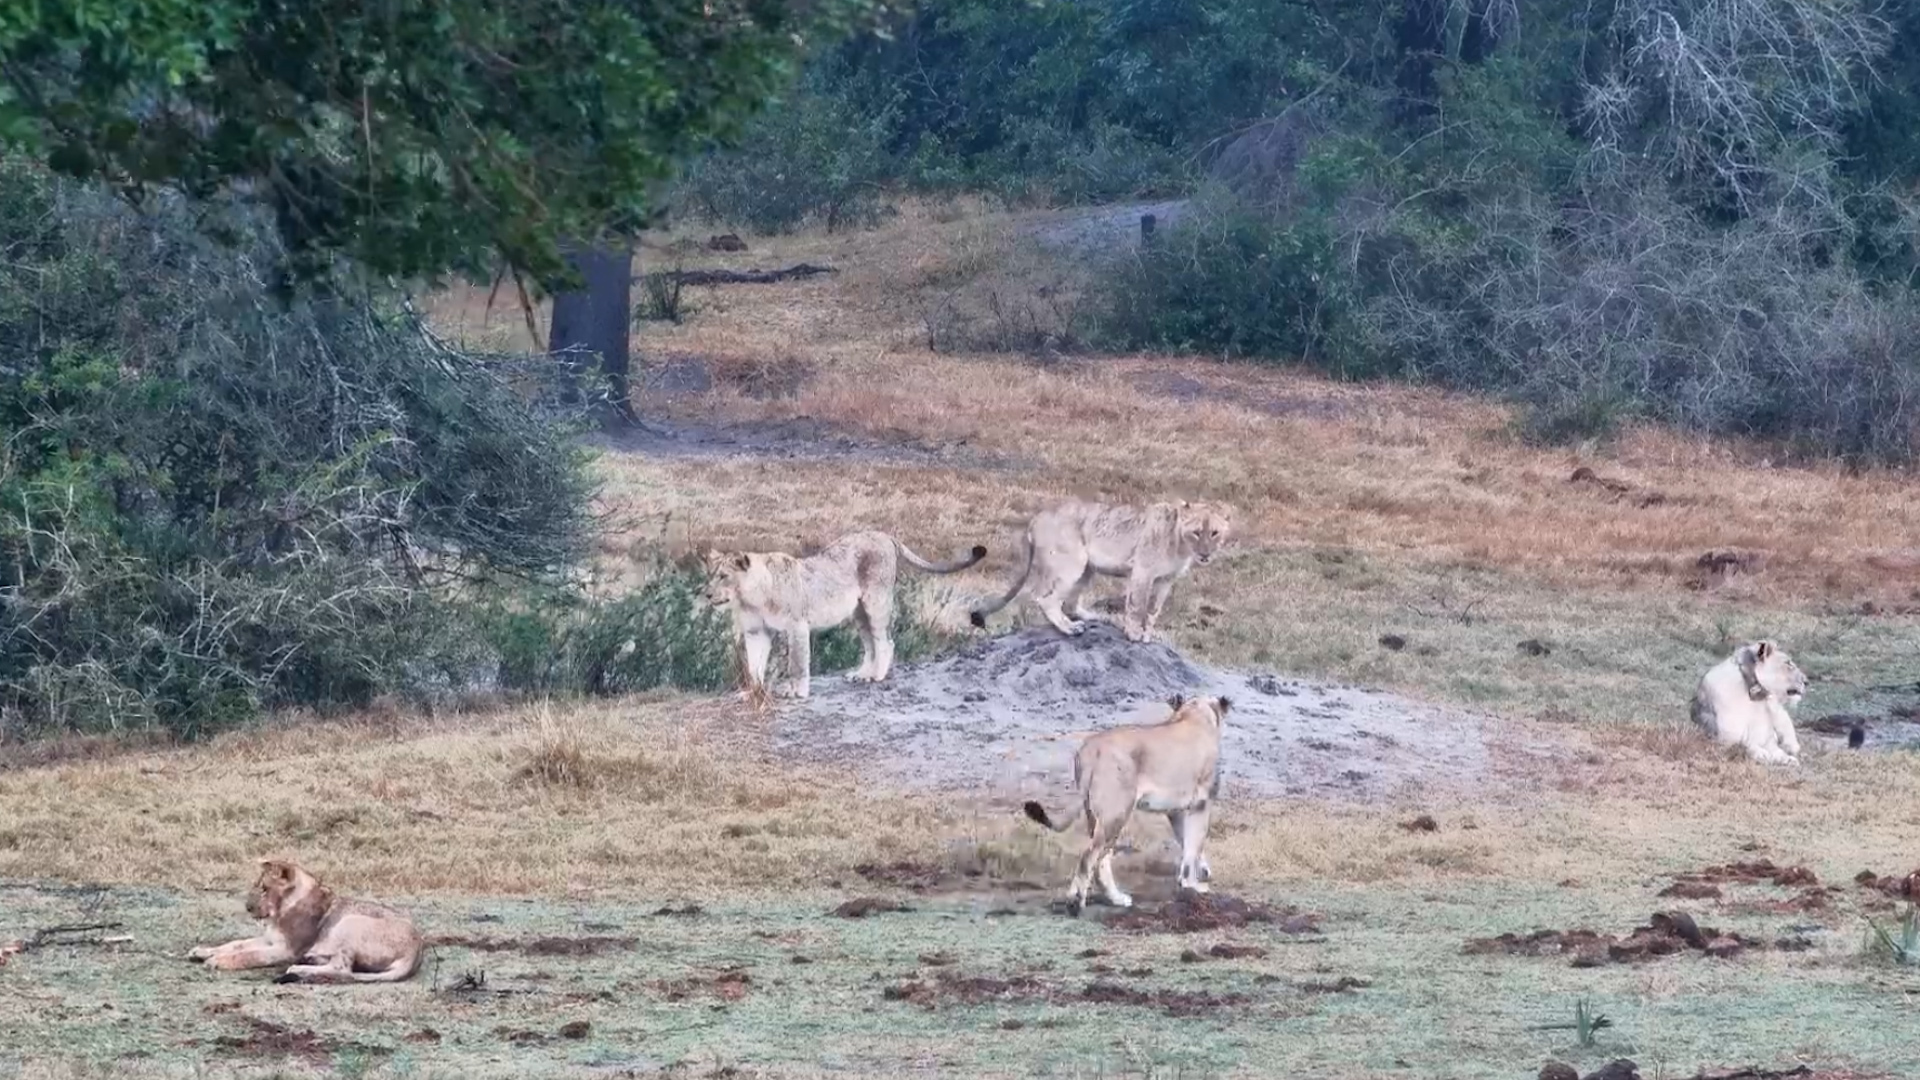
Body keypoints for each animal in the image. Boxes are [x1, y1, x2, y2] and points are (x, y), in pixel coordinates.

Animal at [188, 859, 423, 983]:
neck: (281, 910)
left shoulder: (286, 950)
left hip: (350, 923)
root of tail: (416, 952)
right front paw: (202, 951)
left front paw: (218, 961)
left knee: (343, 970)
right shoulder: (270, 940)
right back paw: (310, 960)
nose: (248, 907)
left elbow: (250, 954)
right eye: (258, 886)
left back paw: (298, 970)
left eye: (264, 889)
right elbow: (236, 944)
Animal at [702, 530, 987, 700]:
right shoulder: (756, 631)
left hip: (876, 602)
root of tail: (884, 534)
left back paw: (878, 676)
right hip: (858, 612)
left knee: (885, 641)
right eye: (711, 575)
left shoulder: (797, 626)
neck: (751, 598)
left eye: (724, 576)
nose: (706, 594)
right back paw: (863, 674)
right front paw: (752, 692)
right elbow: (754, 665)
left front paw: (797, 692)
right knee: (870, 644)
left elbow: (797, 664)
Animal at [968, 499, 1234, 643]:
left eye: (1214, 533)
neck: (1181, 545)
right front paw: (1134, 634)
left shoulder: (1166, 581)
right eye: (1197, 532)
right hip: (1073, 562)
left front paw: (1148, 634)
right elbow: (1137, 606)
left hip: (1088, 569)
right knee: (1045, 598)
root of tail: (1035, 518)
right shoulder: (1142, 573)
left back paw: (1096, 617)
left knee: (1070, 603)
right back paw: (1070, 628)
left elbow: (1153, 611)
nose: (1205, 554)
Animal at [1022, 693, 1231, 915]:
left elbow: (1187, 844)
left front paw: (1198, 874)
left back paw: (1117, 899)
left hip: (1097, 816)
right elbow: (1193, 846)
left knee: (1101, 860)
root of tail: (1091, 748)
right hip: (1117, 812)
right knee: (1088, 857)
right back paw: (1075, 903)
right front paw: (1194, 886)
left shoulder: (1176, 811)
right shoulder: (1201, 803)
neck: (1194, 713)